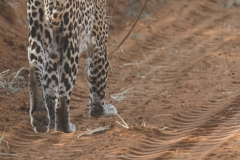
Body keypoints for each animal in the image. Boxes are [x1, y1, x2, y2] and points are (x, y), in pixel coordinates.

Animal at [26, 0, 117, 132]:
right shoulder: (99, 46)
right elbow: (98, 83)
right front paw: (101, 111)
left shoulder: (52, 56)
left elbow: (50, 88)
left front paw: (51, 119)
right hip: (71, 45)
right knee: (63, 95)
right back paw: (65, 127)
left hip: (37, 37)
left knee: (34, 67)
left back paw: (40, 115)